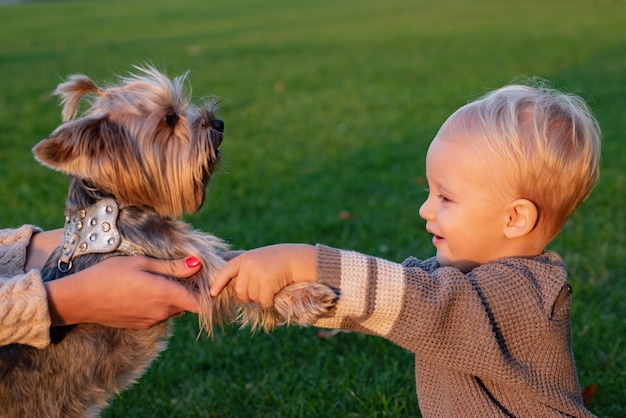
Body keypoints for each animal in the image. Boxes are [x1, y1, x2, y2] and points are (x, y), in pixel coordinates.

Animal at [0, 67, 336, 416]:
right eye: (170, 119)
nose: (219, 122)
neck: (118, 206)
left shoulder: (192, 252)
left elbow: (234, 260)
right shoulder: (185, 266)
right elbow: (226, 277)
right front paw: (305, 297)